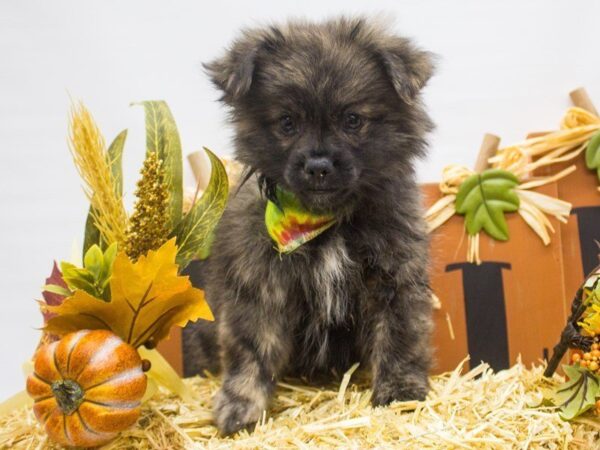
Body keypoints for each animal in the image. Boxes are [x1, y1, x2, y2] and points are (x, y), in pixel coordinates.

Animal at [183, 17, 436, 436]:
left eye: (352, 120)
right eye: (287, 122)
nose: (319, 166)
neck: (325, 223)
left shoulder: (393, 275)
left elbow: (398, 336)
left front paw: (401, 391)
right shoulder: (257, 287)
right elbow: (250, 351)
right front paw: (241, 405)